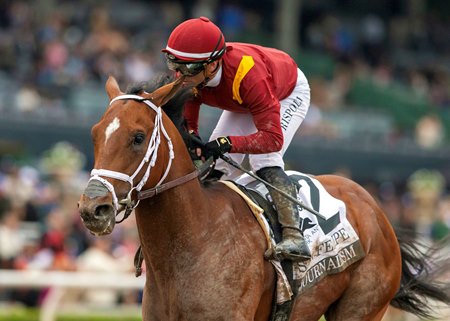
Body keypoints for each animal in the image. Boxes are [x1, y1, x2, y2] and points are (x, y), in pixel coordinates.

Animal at [79, 75, 448, 320]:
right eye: (95, 134)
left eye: (138, 137)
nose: (93, 208)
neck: (193, 243)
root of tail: (375, 208)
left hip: (361, 308)